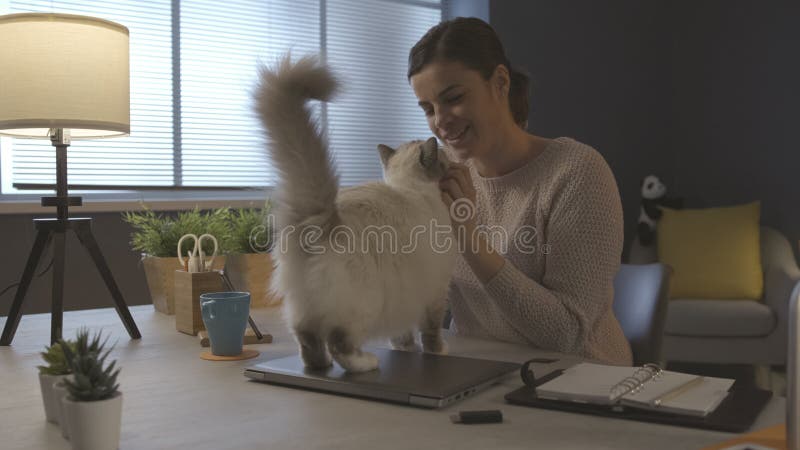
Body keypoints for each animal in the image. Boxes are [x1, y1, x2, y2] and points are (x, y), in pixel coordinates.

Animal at [256, 56, 456, 372]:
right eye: (445, 159)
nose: (450, 153)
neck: (409, 187)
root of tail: (322, 220)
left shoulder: (408, 299)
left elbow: (403, 335)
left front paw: (405, 350)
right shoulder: (435, 292)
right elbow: (431, 332)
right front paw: (437, 352)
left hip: (303, 309)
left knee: (308, 341)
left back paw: (320, 367)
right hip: (365, 304)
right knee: (339, 342)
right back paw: (366, 363)